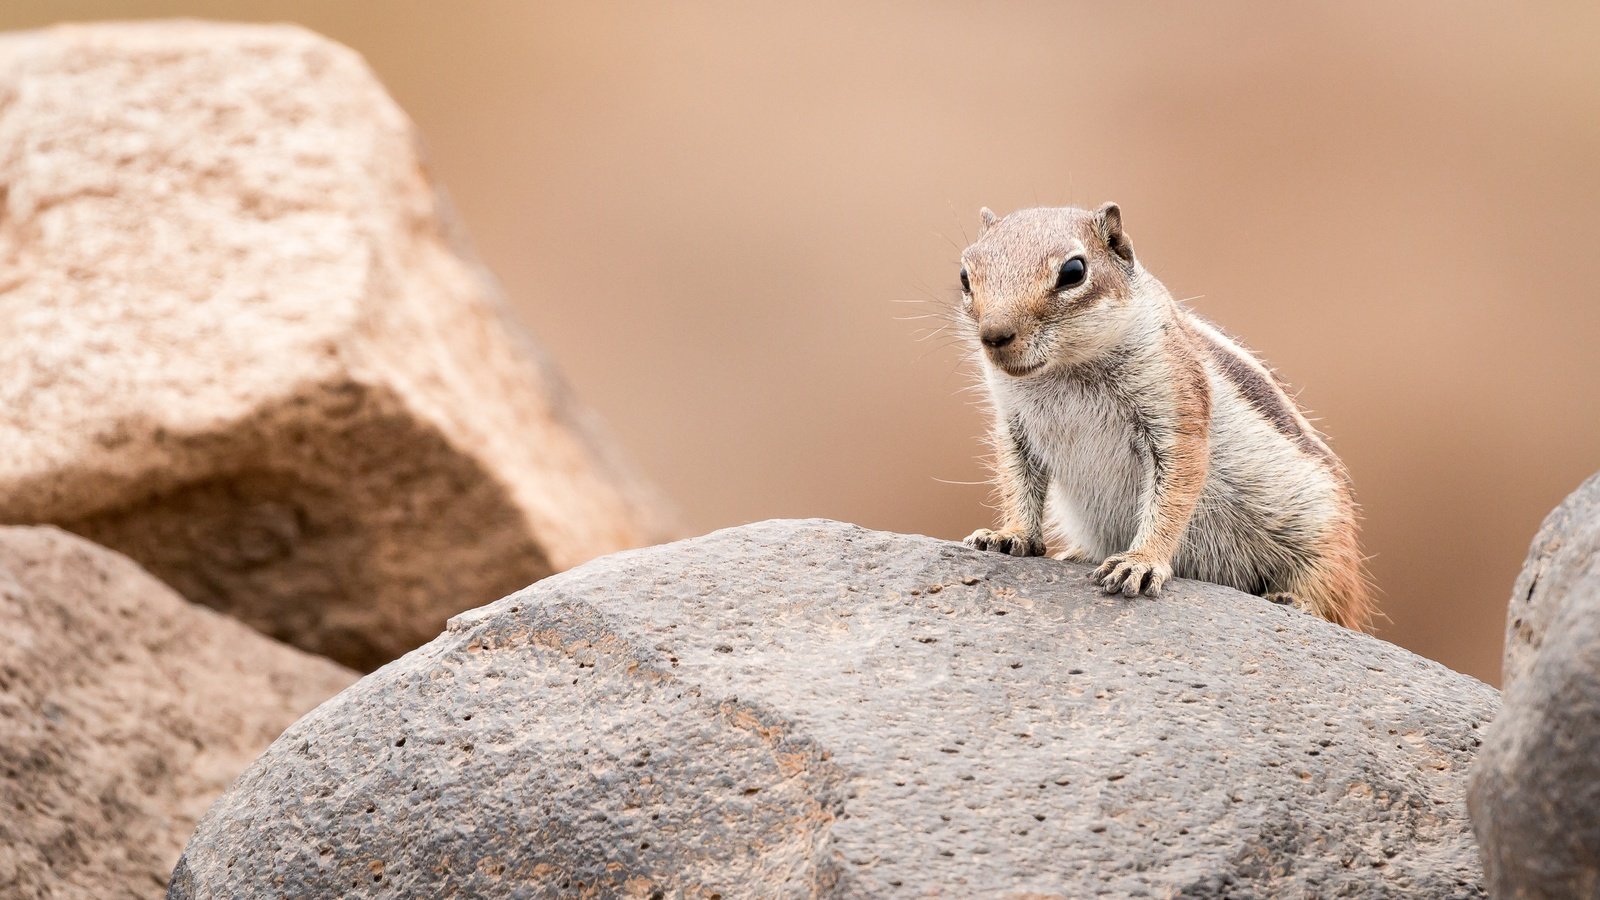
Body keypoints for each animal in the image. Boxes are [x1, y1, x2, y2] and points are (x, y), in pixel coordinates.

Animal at [953, 202, 1369, 627]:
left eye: (1073, 272)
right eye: (965, 275)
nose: (994, 335)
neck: (1067, 369)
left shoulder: (1175, 411)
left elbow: (1172, 498)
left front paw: (1140, 561)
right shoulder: (1014, 426)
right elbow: (1016, 480)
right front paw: (1010, 535)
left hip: (1323, 535)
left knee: (1328, 592)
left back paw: (1294, 600)